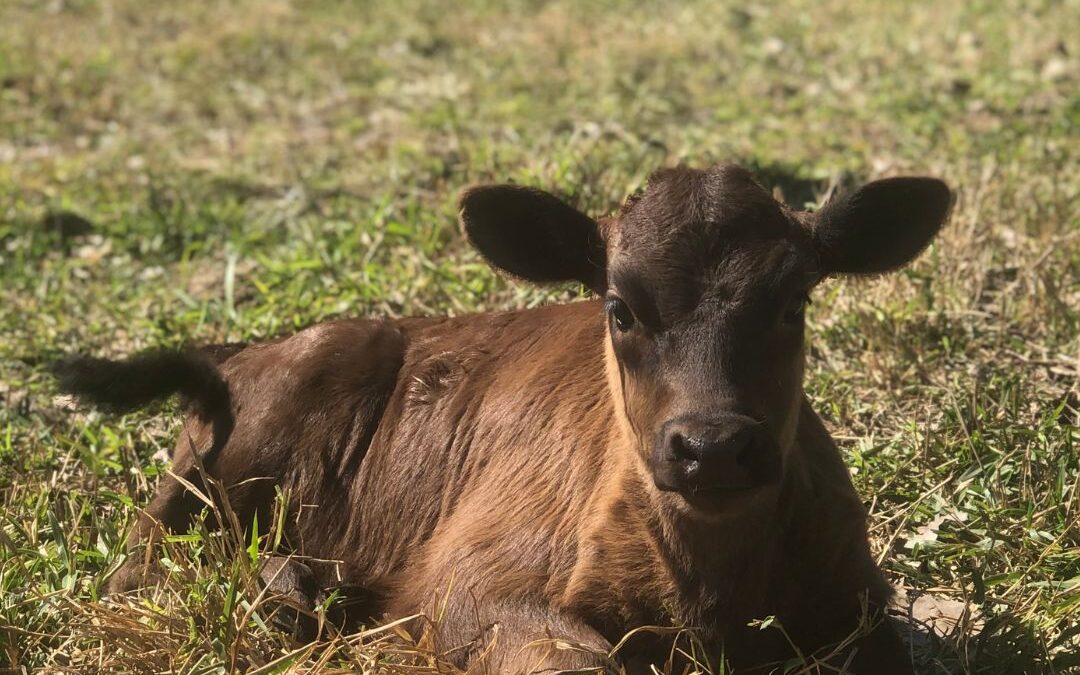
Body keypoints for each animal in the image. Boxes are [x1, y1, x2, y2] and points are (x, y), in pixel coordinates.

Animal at [59, 164, 954, 673]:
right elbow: (581, 662)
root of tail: (241, 350)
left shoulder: (860, 604)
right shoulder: (476, 582)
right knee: (146, 571)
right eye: (619, 308)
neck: (710, 583)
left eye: (794, 302)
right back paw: (295, 588)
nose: (714, 447)